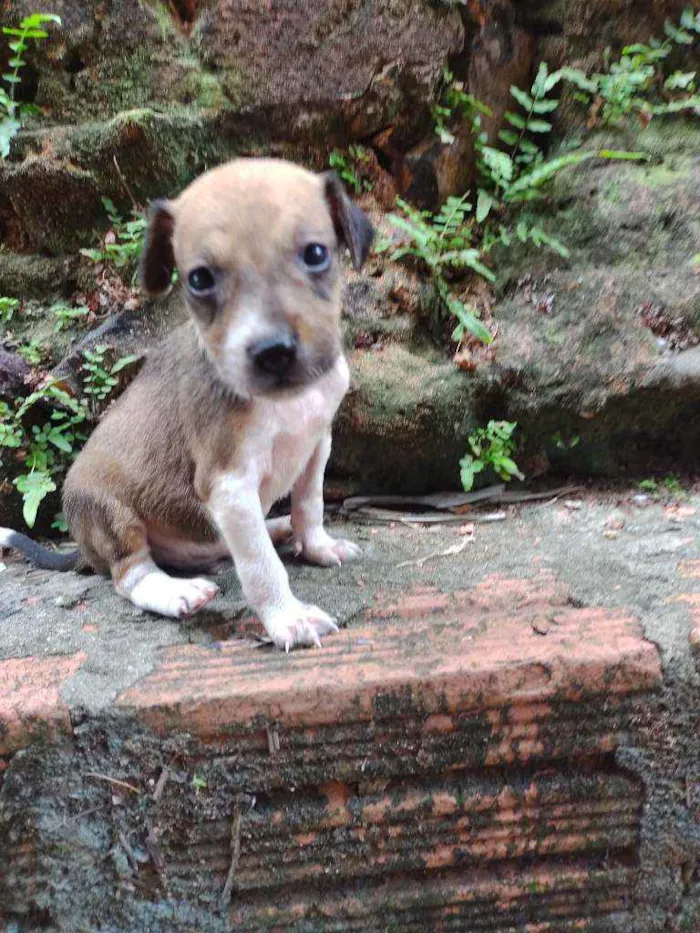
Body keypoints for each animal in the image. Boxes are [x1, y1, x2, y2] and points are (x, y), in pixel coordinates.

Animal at [2, 160, 374, 652]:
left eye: (315, 253)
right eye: (199, 279)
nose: (273, 352)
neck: (285, 403)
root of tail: (82, 551)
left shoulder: (316, 444)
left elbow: (309, 505)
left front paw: (316, 546)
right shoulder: (229, 482)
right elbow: (260, 566)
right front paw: (288, 618)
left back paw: (276, 527)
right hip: (111, 512)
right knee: (130, 575)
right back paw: (174, 591)